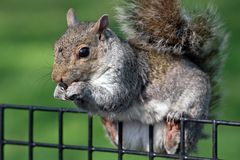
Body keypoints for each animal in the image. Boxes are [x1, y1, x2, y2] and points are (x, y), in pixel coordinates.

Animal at [51, 0, 227, 155]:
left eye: (84, 52)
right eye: (55, 46)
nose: (56, 78)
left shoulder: (128, 75)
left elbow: (114, 97)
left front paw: (80, 87)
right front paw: (59, 91)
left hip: (196, 105)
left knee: (178, 145)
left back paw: (174, 126)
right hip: (129, 133)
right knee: (122, 143)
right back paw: (109, 124)